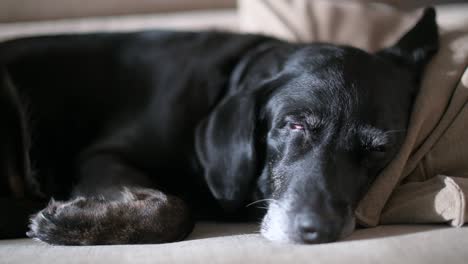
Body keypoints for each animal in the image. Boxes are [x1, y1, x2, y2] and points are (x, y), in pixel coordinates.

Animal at [0, 7, 438, 243]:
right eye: (295, 125)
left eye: (378, 149)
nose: (318, 230)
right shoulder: (101, 155)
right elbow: (174, 208)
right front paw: (65, 223)